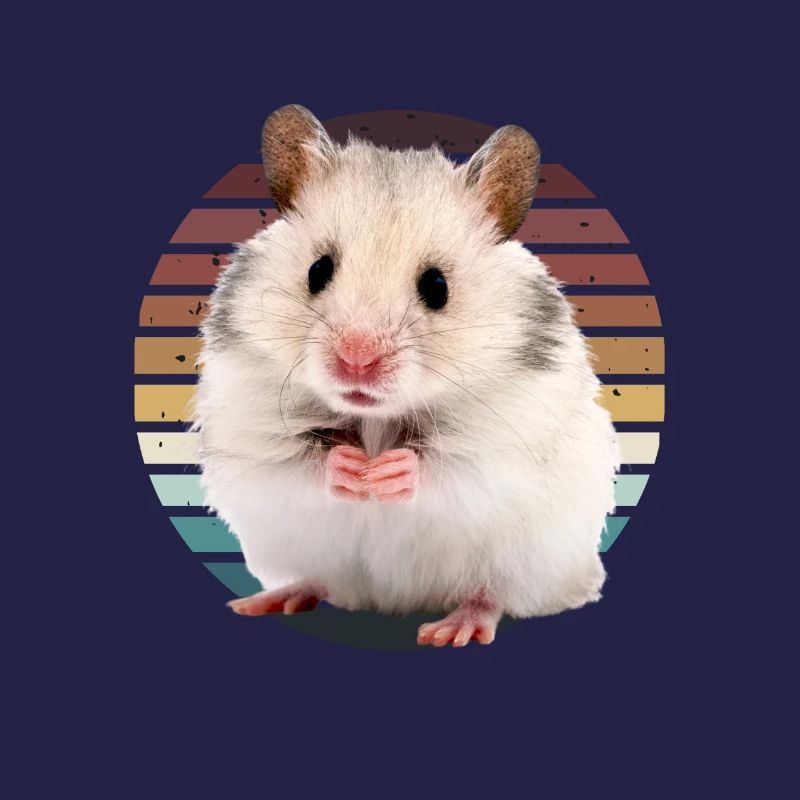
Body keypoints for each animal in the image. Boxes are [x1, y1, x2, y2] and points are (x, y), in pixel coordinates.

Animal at [192, 104, 621, 647]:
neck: (376, 419)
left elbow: (451, 469)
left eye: (436, 286)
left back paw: (452, 629)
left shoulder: (507, 449)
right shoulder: (250, 437)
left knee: (492, 594)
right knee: (318, 578)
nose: (357, 360)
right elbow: (296, 465)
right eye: (317, 270)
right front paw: (352, 469)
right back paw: (266, 600)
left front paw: (387, 473)